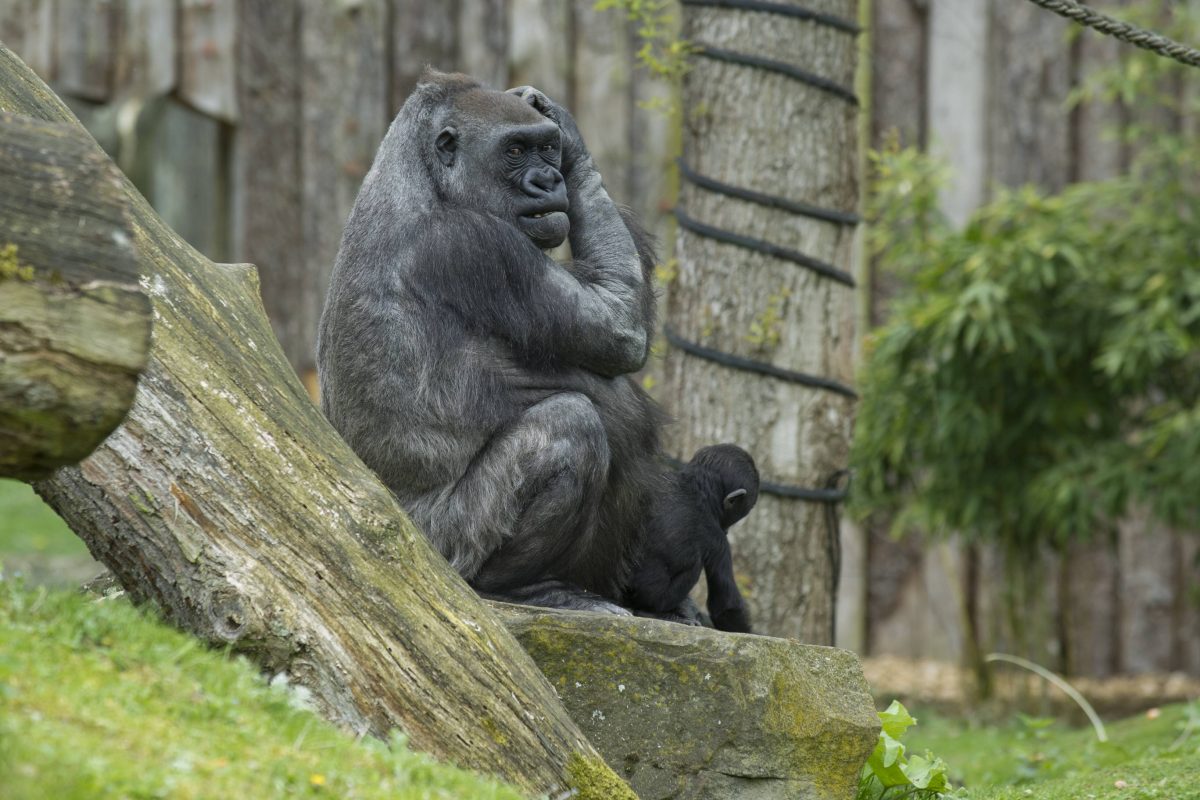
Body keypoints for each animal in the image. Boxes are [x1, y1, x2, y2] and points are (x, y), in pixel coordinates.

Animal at [319, 73, 667, 614]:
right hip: (447, 552)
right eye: (516, 150)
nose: (549, 179)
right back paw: (514, 587)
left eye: (546, 148)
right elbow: (617, 329)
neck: (420, 176)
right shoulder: (482, 246)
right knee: (574, 424)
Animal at [628, 443, 758, 633]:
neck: (695, 489)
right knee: (694, 567)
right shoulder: (718, 540)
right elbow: (726, 605)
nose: (727, 529)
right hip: (655, 597)